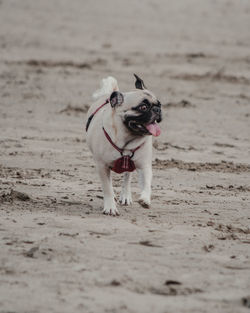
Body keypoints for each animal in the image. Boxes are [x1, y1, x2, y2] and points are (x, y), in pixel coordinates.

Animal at [86, 73, 162, 214]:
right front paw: (110, 206)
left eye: (160, 105)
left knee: (127, 177)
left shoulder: (144, 166)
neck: (127, 139)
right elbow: (107, 188)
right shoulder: (102, 166)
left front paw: (145, 199)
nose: (157, 110)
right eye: (143, 107)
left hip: (131, 165)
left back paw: (126, 196)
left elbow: (147, 183)